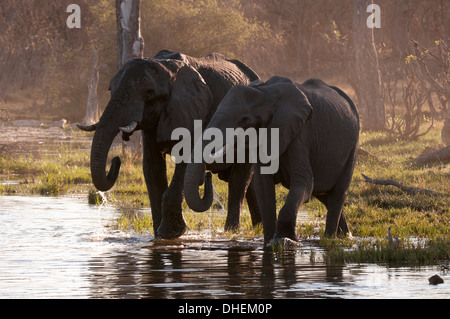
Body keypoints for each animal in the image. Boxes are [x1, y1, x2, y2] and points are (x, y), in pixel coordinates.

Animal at [77, 49, 260, 240]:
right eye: (110, 89)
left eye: (150, 93)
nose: (116, 160)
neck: (166, 68)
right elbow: (152, 168)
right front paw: (158, 235)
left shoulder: (194, 112)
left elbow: (185, 163)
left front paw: (170, 233)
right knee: (249, 185)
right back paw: (257, 228)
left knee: (239, 182)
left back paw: (231, 232)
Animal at [183, 76, 358, 246]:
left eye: (244, 120)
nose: (206, 176)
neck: (266, 93)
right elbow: (263, 187)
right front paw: (269, 243)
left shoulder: (300, 134)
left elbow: (303, 183)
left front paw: (285, 241)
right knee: (324, 195)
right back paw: (344, 236)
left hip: (352, 148)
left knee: (337, 194)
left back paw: (330, 239)